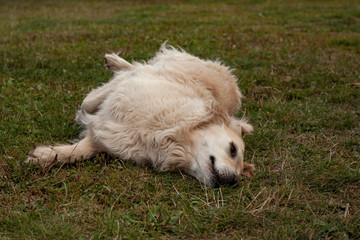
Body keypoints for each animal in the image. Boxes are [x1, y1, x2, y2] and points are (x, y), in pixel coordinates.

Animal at [26, 45, 255, 188]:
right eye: (233, 149)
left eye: (240, 171)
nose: (233, 181)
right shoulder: (127, 88)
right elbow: (88, 103)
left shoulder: (111, 139)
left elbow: (80, 151)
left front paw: (45, 155)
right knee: (137, 66)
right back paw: (115, 62)